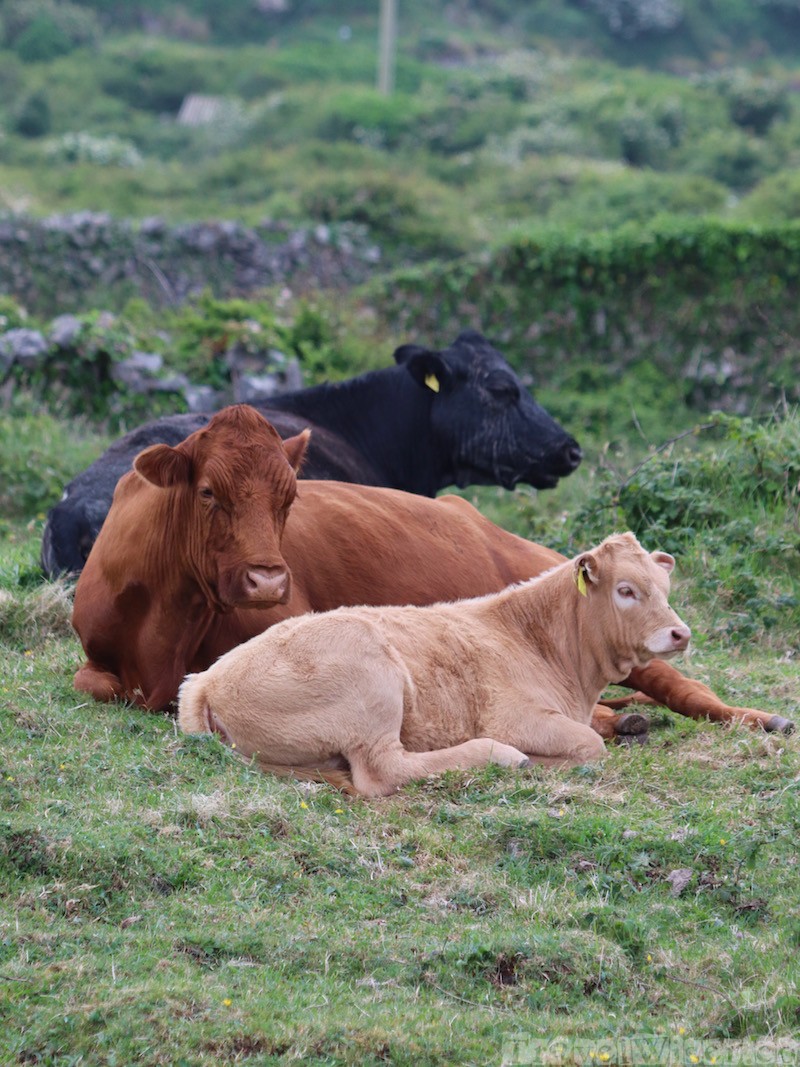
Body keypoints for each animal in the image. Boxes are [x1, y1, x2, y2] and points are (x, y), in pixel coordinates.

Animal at [71, 407, 794, 740]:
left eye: (289, 497)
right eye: (207, 492)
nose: (267, 583)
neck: (166, 622)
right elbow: (98, 684)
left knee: (680, 686)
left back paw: (757, 719)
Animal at [177, 533, 692, 796]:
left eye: (667, 589)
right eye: (626, 590)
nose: (680, 633)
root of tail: (208, 679)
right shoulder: (514, 716)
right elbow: (590, 744)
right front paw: (545, 761)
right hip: (372, 684)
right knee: (383, 770)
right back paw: (503, 757)